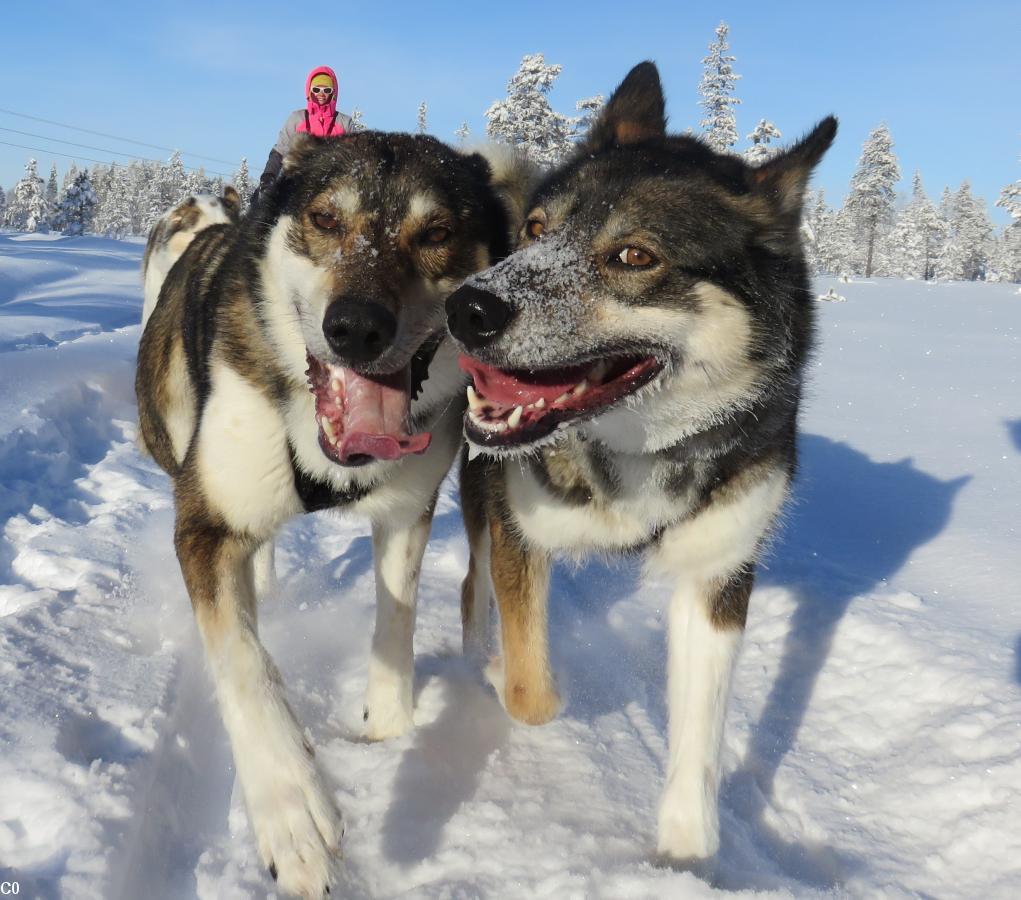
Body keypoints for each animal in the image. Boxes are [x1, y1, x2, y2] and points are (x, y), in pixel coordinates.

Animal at [134, 133, 530, 898]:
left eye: (437, 232)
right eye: (324, 218)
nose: (355, 327)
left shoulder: (407, 512)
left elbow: (396, 620)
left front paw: (387, 727)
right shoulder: (204, 520)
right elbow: (244, 659)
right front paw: (290, 803)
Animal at [447, 63, 837, 870]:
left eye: (633, 255)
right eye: (537, 231)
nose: (466, 308)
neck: (633, 447)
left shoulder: (717, 576)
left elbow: (699, 741)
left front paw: (685, 855)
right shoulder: (518, 532)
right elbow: (533, 694)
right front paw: (503, 672)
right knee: (474, 589)